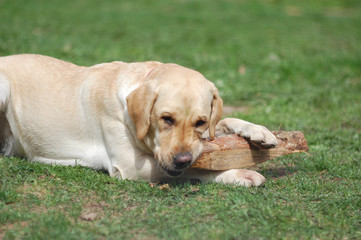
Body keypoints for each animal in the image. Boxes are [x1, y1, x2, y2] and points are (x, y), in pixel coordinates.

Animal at [0, 54, 278, 186]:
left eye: (200, 123)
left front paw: (259, 131)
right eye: (166, 118)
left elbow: (224, 121)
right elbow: (197, 168)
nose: (182, 158)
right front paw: (238, 173)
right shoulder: (129, 165)